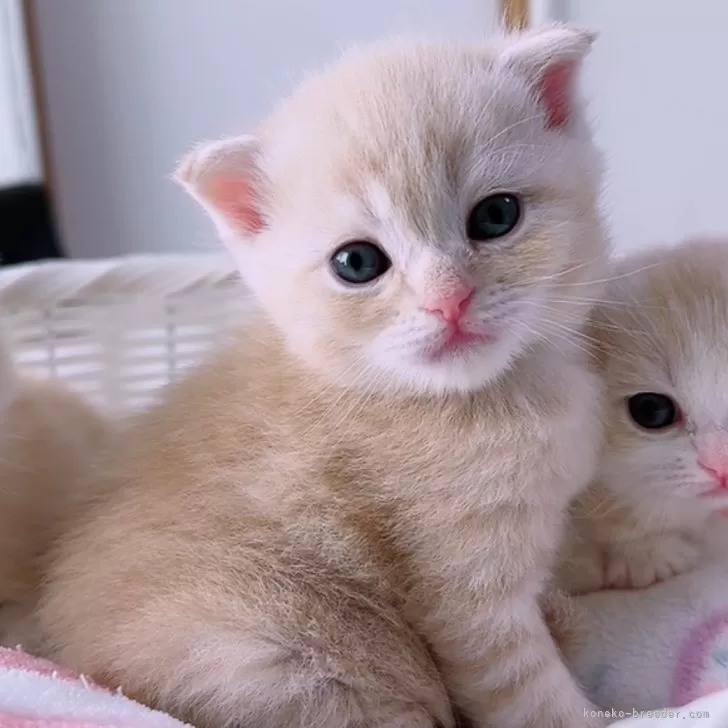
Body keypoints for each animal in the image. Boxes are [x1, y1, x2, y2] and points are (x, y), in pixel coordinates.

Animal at [38, 25, 608, 724]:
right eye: (357, 262)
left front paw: (568, 611)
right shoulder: (463, 591)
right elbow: (528, 692)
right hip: (286, 656)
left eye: (497, 216)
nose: (448, 301)